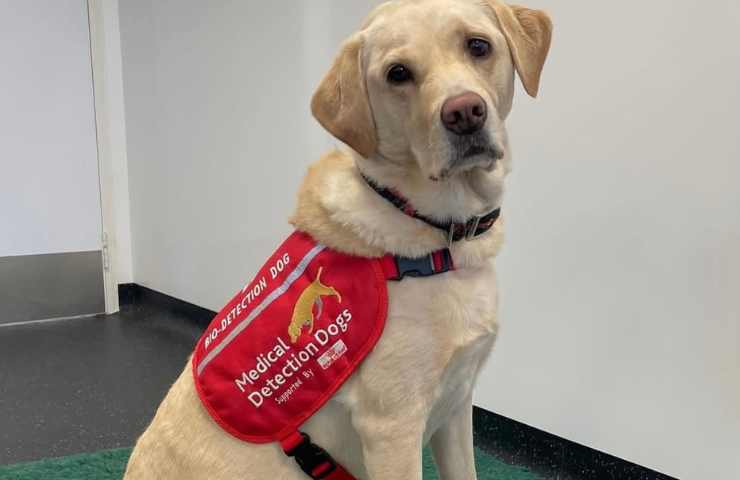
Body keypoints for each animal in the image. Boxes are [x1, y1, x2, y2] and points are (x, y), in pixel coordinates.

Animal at [123, 0, 548, 480]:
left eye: (478, 46)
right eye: (398, 73)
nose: (464, 112)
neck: (438, 236)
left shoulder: (457, 405)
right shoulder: (391, 427)